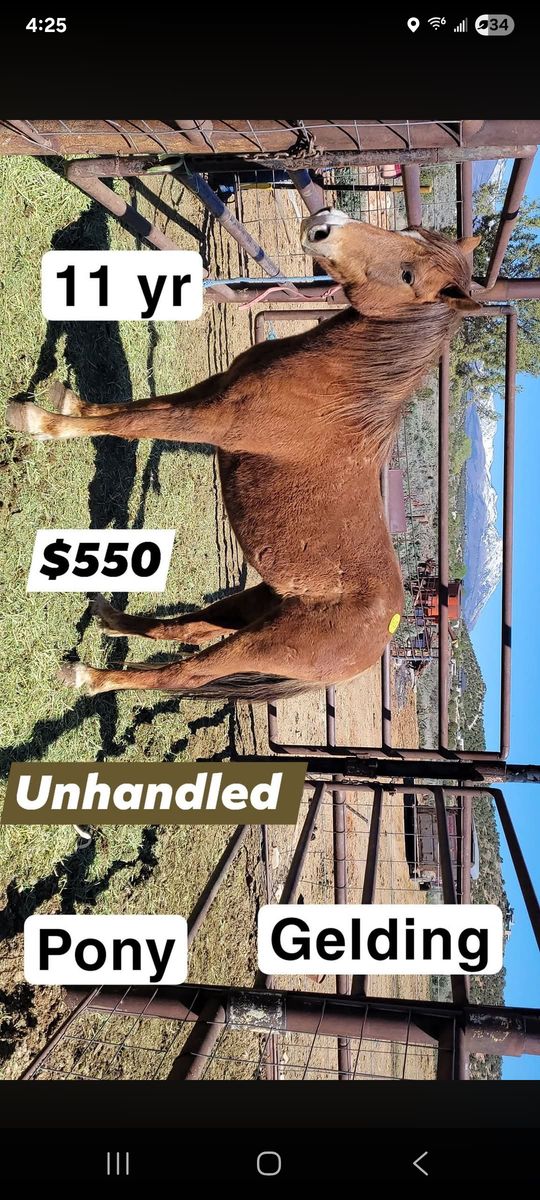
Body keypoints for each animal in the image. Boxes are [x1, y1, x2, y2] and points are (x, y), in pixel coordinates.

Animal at [6, 210, 481, 702]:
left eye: (409, 275)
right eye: (406, 233)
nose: (325, 225)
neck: (336, 389)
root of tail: (377, 642)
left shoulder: (212, 422)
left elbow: (131, 424)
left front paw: (38, 422)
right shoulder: (210, 393)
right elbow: (134, 409)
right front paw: (70, 403)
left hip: (261, 643)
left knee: (184, 674)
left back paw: (89, 677)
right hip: (254, 605)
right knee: (187, 630)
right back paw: (112, 620)